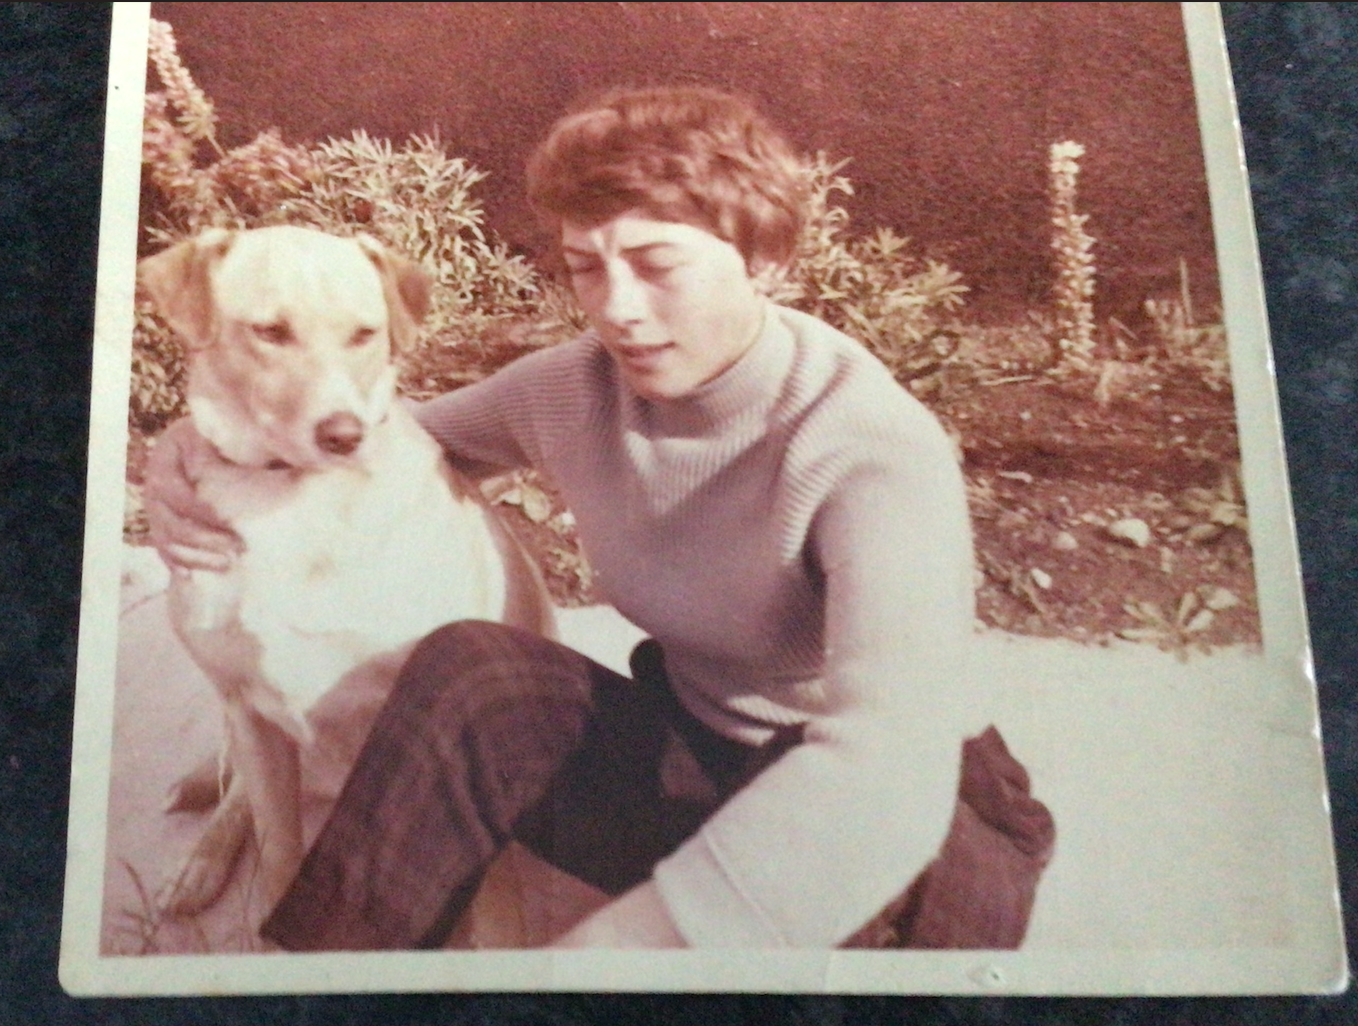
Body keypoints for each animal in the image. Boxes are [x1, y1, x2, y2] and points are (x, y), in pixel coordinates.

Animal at [140, 227, 554, 928]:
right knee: (237, 799)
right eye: (270, 332)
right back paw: (200, 865)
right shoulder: (249, 710)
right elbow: (277, 856)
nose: (344, 435)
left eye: (365, 334)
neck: (296, 497)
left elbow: (494, 910)